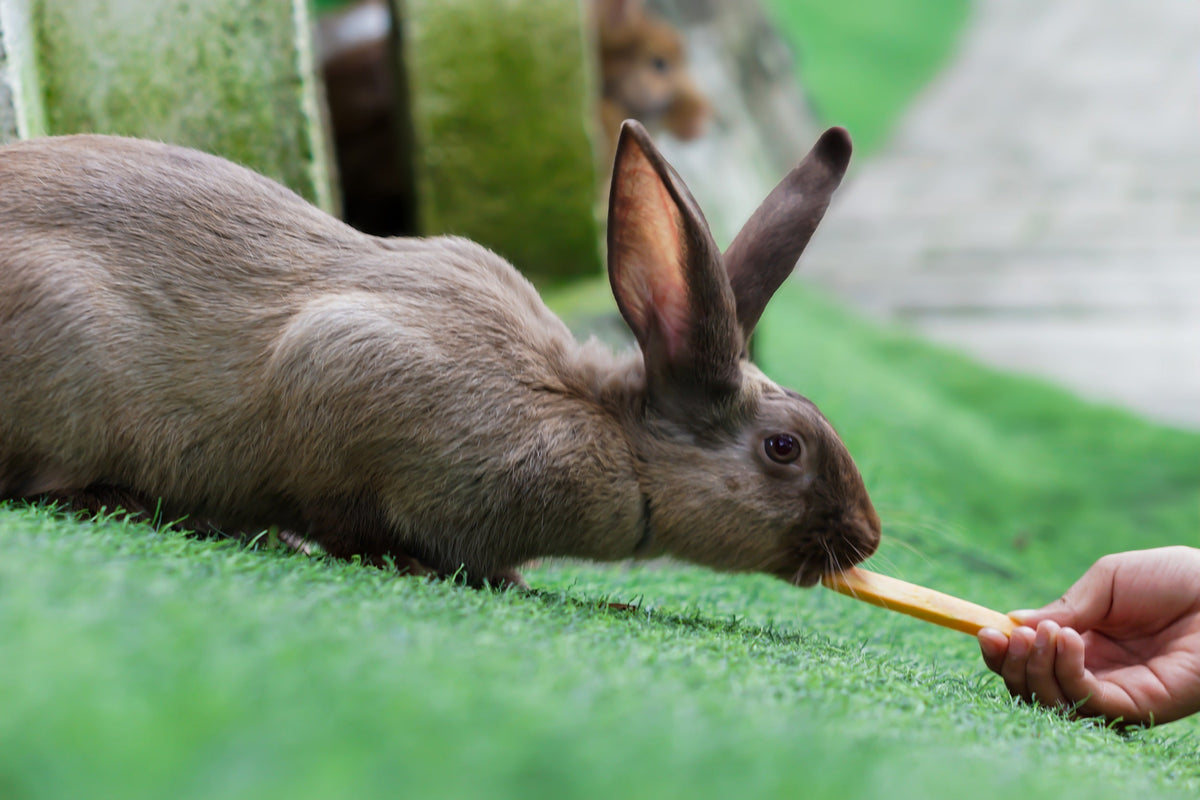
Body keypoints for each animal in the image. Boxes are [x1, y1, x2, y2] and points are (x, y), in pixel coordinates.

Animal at [0, 119, 880, 589]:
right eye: (783, 449)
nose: (866, 539)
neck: (596, 423)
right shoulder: (340, 370)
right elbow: (347, 518)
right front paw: (422, 567)